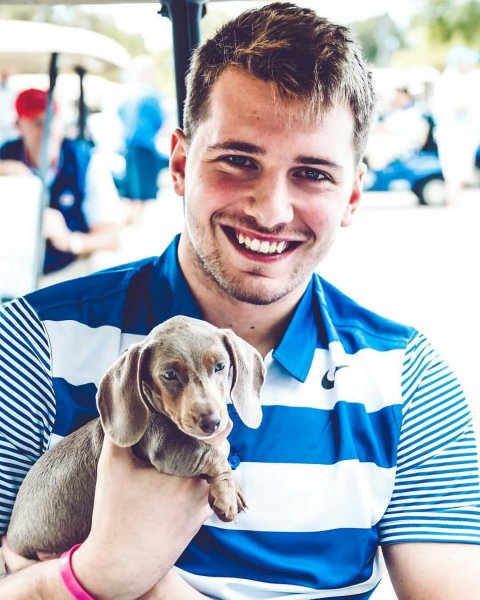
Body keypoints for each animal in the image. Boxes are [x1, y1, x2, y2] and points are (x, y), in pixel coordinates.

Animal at [7, 315, 265, 560]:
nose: (212, 423)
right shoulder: (164, 447)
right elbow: (212, 454)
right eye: (169, 375)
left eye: (220, 366)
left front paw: (234, 490)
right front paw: (226, 494)